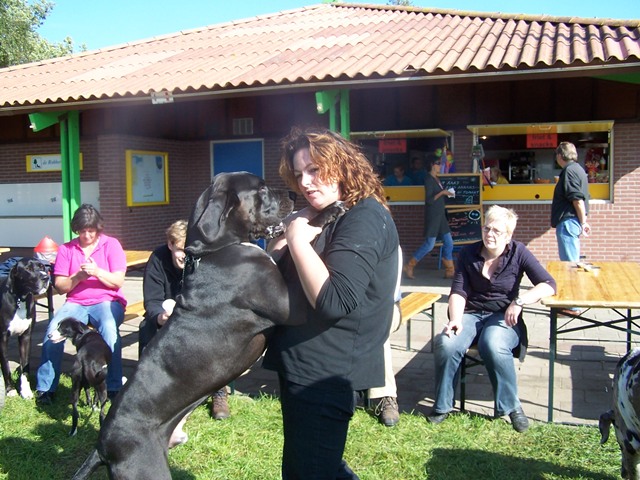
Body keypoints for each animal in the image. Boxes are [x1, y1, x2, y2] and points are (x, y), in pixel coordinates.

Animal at [0, 257, 51, 399]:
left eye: (42, 267)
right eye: (28, 269)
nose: (46, 277)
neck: (19, 299)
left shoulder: (26, 336)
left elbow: (25, 366)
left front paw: (25, 390)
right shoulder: (2, 338)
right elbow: (5, 365)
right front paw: (10, 389)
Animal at [73, 171, 346, 480]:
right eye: (262, 188)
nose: (292, 194)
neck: (215, 250)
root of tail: (101, 447)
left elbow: (282, 252)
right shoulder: (294, 305)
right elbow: (293, 244)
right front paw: (323, 214)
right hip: (147, 469)